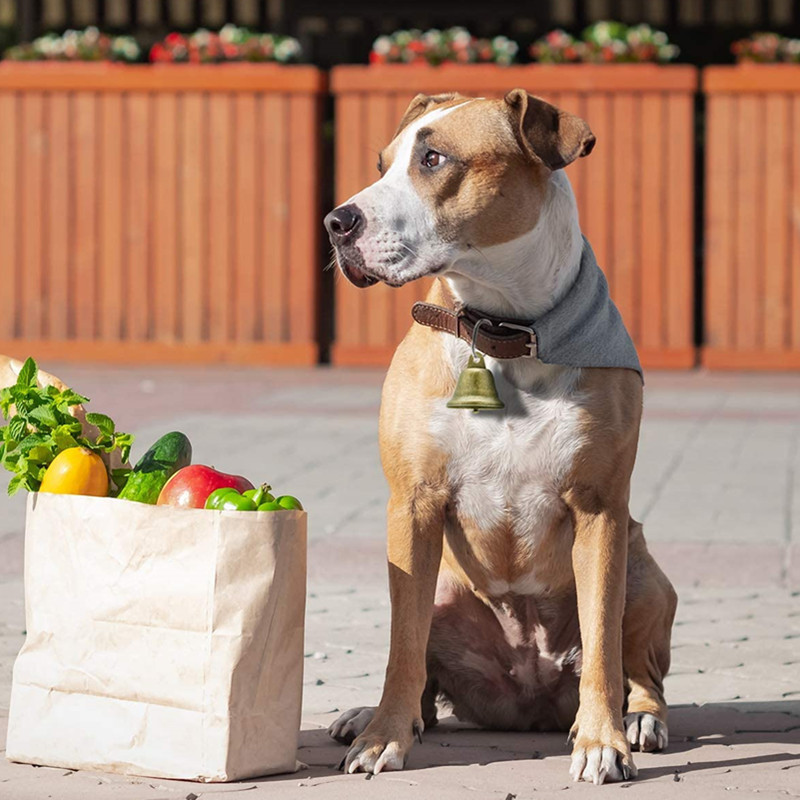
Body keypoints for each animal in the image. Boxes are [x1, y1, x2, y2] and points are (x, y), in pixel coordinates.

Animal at [322, 90, 680, 784]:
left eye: (434, 159)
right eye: (382, 163)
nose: (336, 222)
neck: (503, 327)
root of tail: (524, 699)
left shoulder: (600, 509)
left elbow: (603, 642)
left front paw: (602, 742)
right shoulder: (412, 505)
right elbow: (401, 646)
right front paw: (382, 737)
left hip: (644, 570)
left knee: (641, 669)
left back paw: (641, 721)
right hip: (439, 585)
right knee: (422, 673)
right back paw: (373, 715)